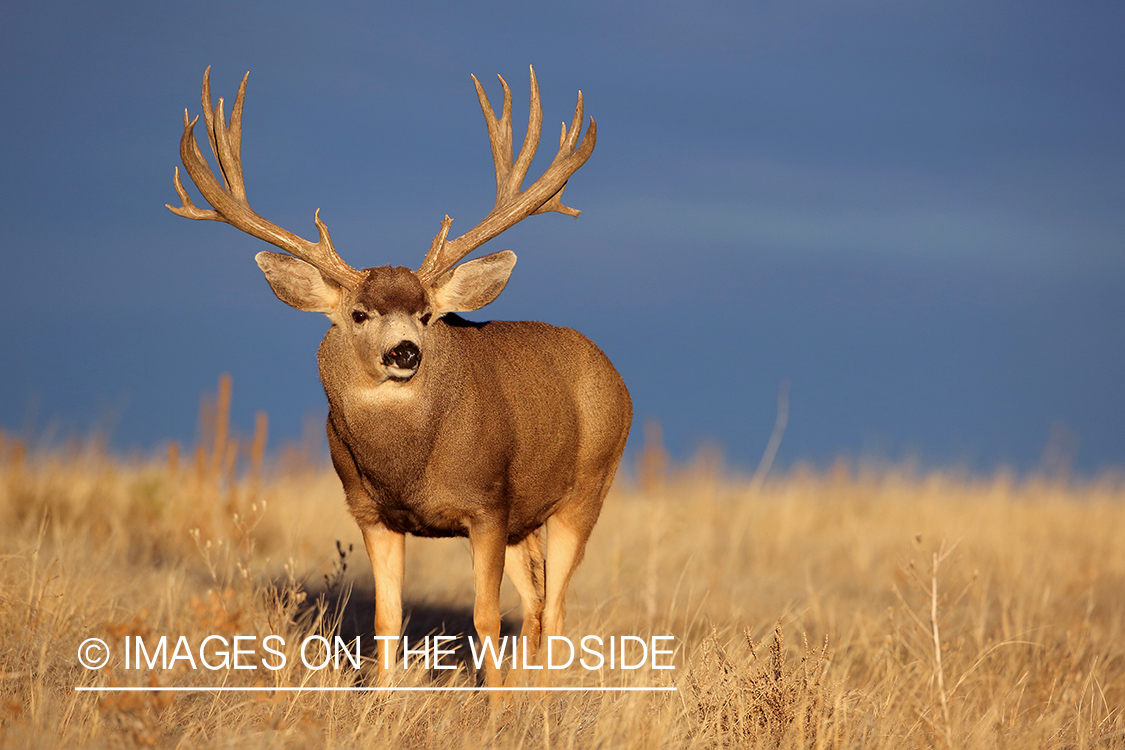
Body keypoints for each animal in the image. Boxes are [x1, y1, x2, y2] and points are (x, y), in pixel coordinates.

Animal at [167, 67, 632, 693]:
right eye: (360, 314)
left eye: (427, 314)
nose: (405, 351)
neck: (408, 467)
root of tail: (613, 373)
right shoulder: (371, 511)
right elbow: (387, 618)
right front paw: (382, 700)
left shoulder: (488, 504)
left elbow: (486, 617)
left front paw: (495, 707)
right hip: (526, 522)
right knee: (536, 607)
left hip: (585, 490)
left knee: (554, 608)